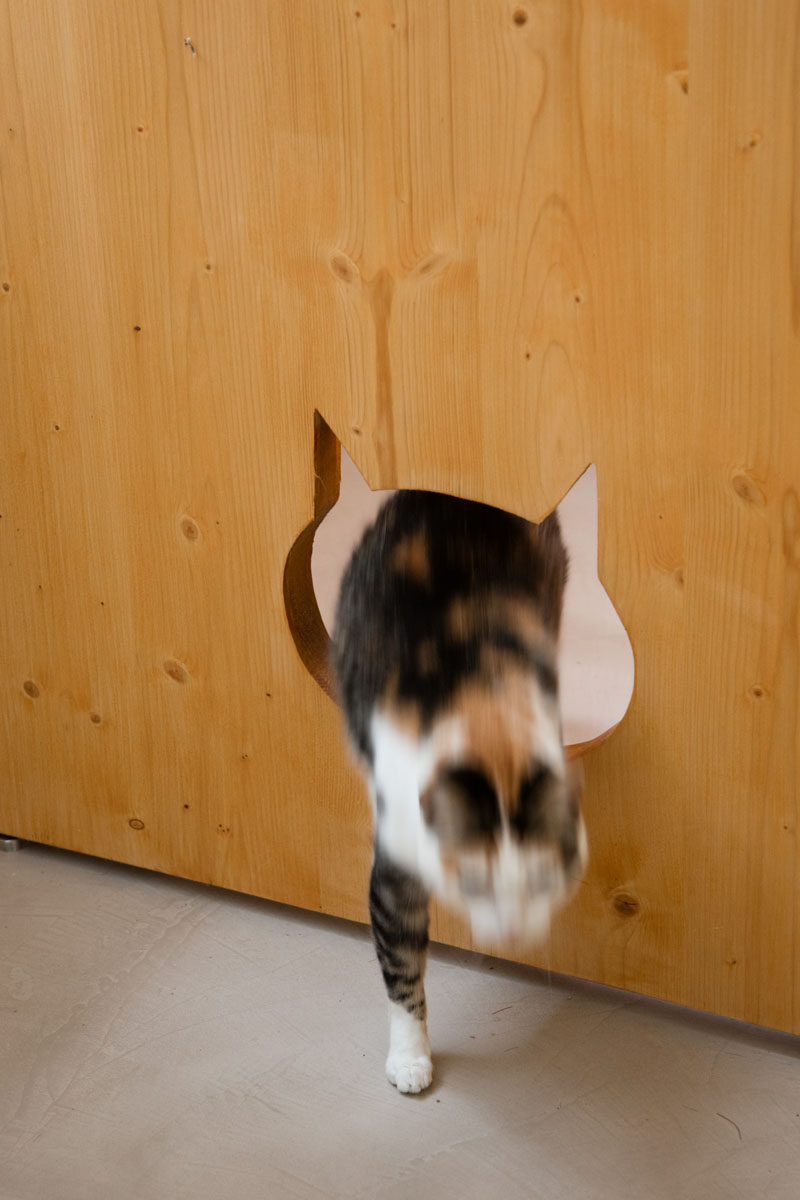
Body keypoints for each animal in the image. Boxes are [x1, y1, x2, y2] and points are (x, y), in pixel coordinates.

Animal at [331, 489, 587, 1099]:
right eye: (474, 884)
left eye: (542, 880)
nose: (512, 933)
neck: (487, 723)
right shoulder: (396, 862)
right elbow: (401, 968)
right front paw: (410, 1060)